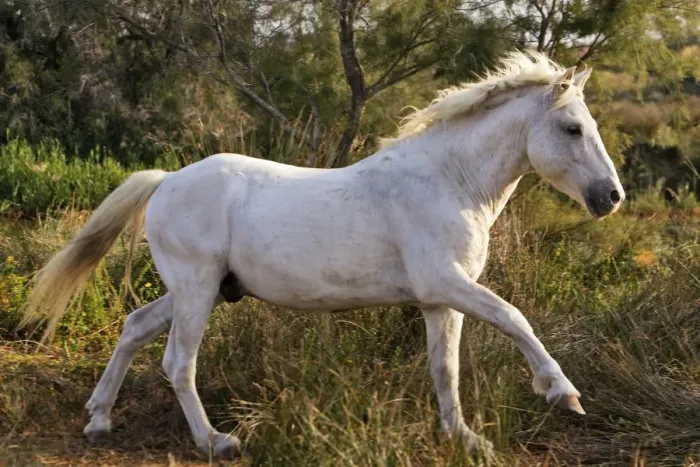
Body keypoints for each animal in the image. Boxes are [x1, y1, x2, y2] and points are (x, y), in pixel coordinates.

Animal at [20, 51, 624, 459]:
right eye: (573, 128)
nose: (612, 197)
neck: (450, 182)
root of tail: (167, 180)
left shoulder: (438, 300)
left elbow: (445, 369)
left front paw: (465, 438)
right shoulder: (448, 283)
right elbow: (514, 318)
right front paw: (562, 393)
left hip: (197, 290)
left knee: (134, 327)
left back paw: (99, 420)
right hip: (195, 290)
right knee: (177, 363)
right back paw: (216, 441)